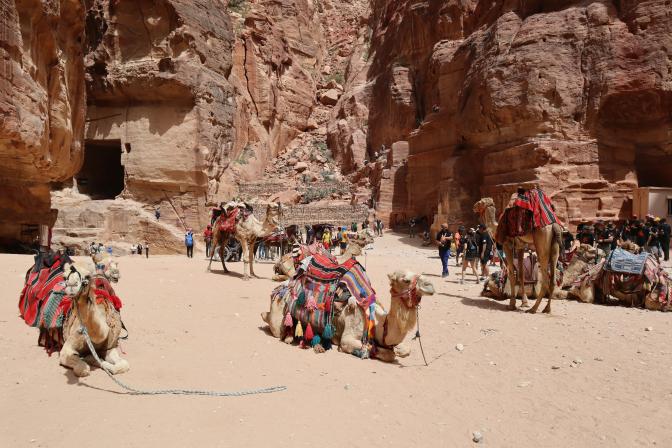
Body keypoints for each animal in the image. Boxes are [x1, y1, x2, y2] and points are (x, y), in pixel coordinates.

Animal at [260, 270, 434, 360]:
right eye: (405, 280)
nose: (430, 285)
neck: (377, 322)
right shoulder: (349, 335)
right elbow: (375, 350)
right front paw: (361, 351)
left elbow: (404, 350)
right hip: (277, 313)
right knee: (274, 326)